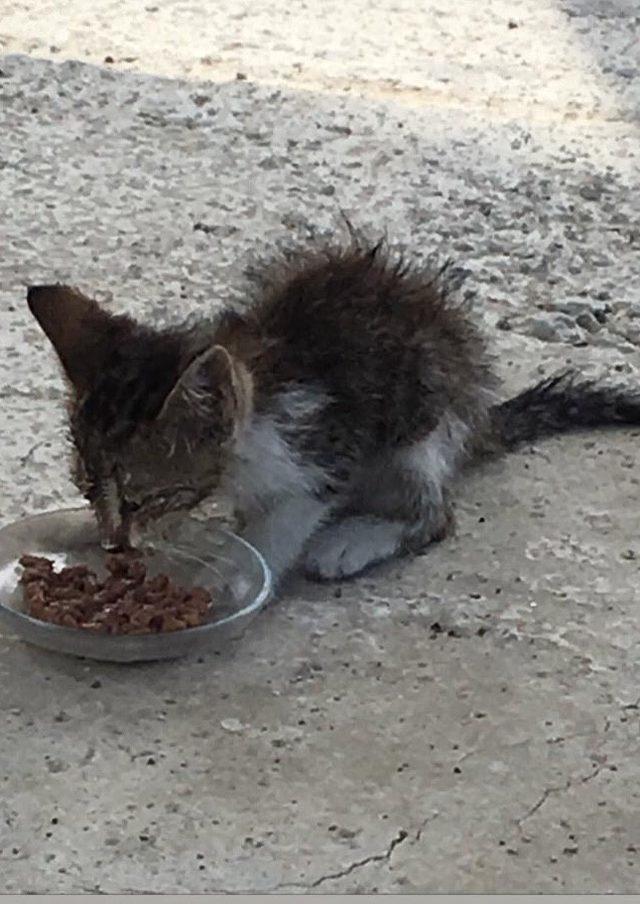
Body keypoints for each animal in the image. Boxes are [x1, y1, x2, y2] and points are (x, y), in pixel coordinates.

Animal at [27, 237, 640, 584]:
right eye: (87, 487)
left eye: (141, 498)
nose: (112, 542)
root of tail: (478, 415)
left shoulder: (325, 447)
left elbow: (292, 516)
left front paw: (231, 571)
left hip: (420, 430)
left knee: (435, 514)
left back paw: (355, 540)